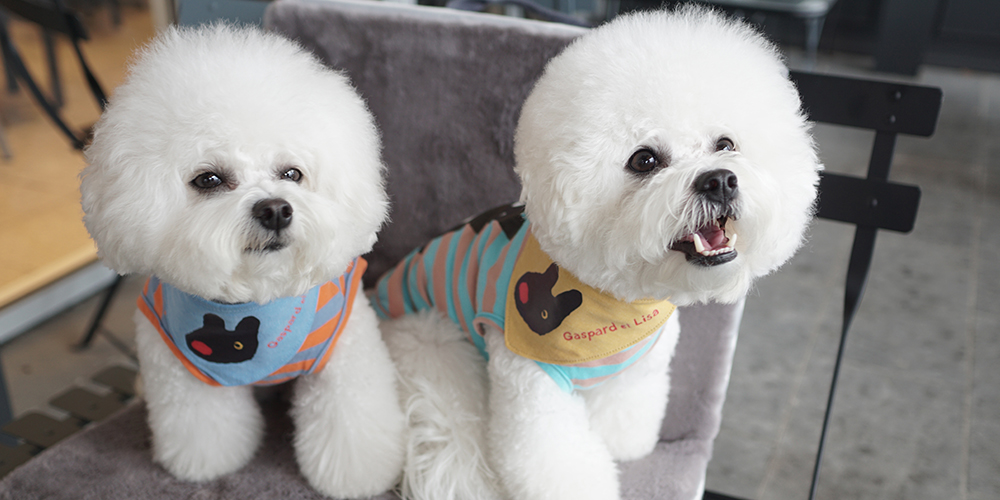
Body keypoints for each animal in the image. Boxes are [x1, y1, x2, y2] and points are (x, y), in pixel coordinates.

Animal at [80, 24, 404, 498]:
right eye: (209, 179)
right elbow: (206, 429)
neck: (256, 299)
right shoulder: (185, 377)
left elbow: (350, 420)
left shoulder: (343, 358)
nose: (275, 209)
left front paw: (357, 476)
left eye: (292, 173)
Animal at [374, 6, 821, 500]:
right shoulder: (533, 381)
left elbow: (624, 410)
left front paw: (625, 445)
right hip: (433, 344)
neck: (612, 299)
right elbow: (555, 460)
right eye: (644, 160)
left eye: (725, 144)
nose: (719, 180)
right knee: (454, 430)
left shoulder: (637, 369)